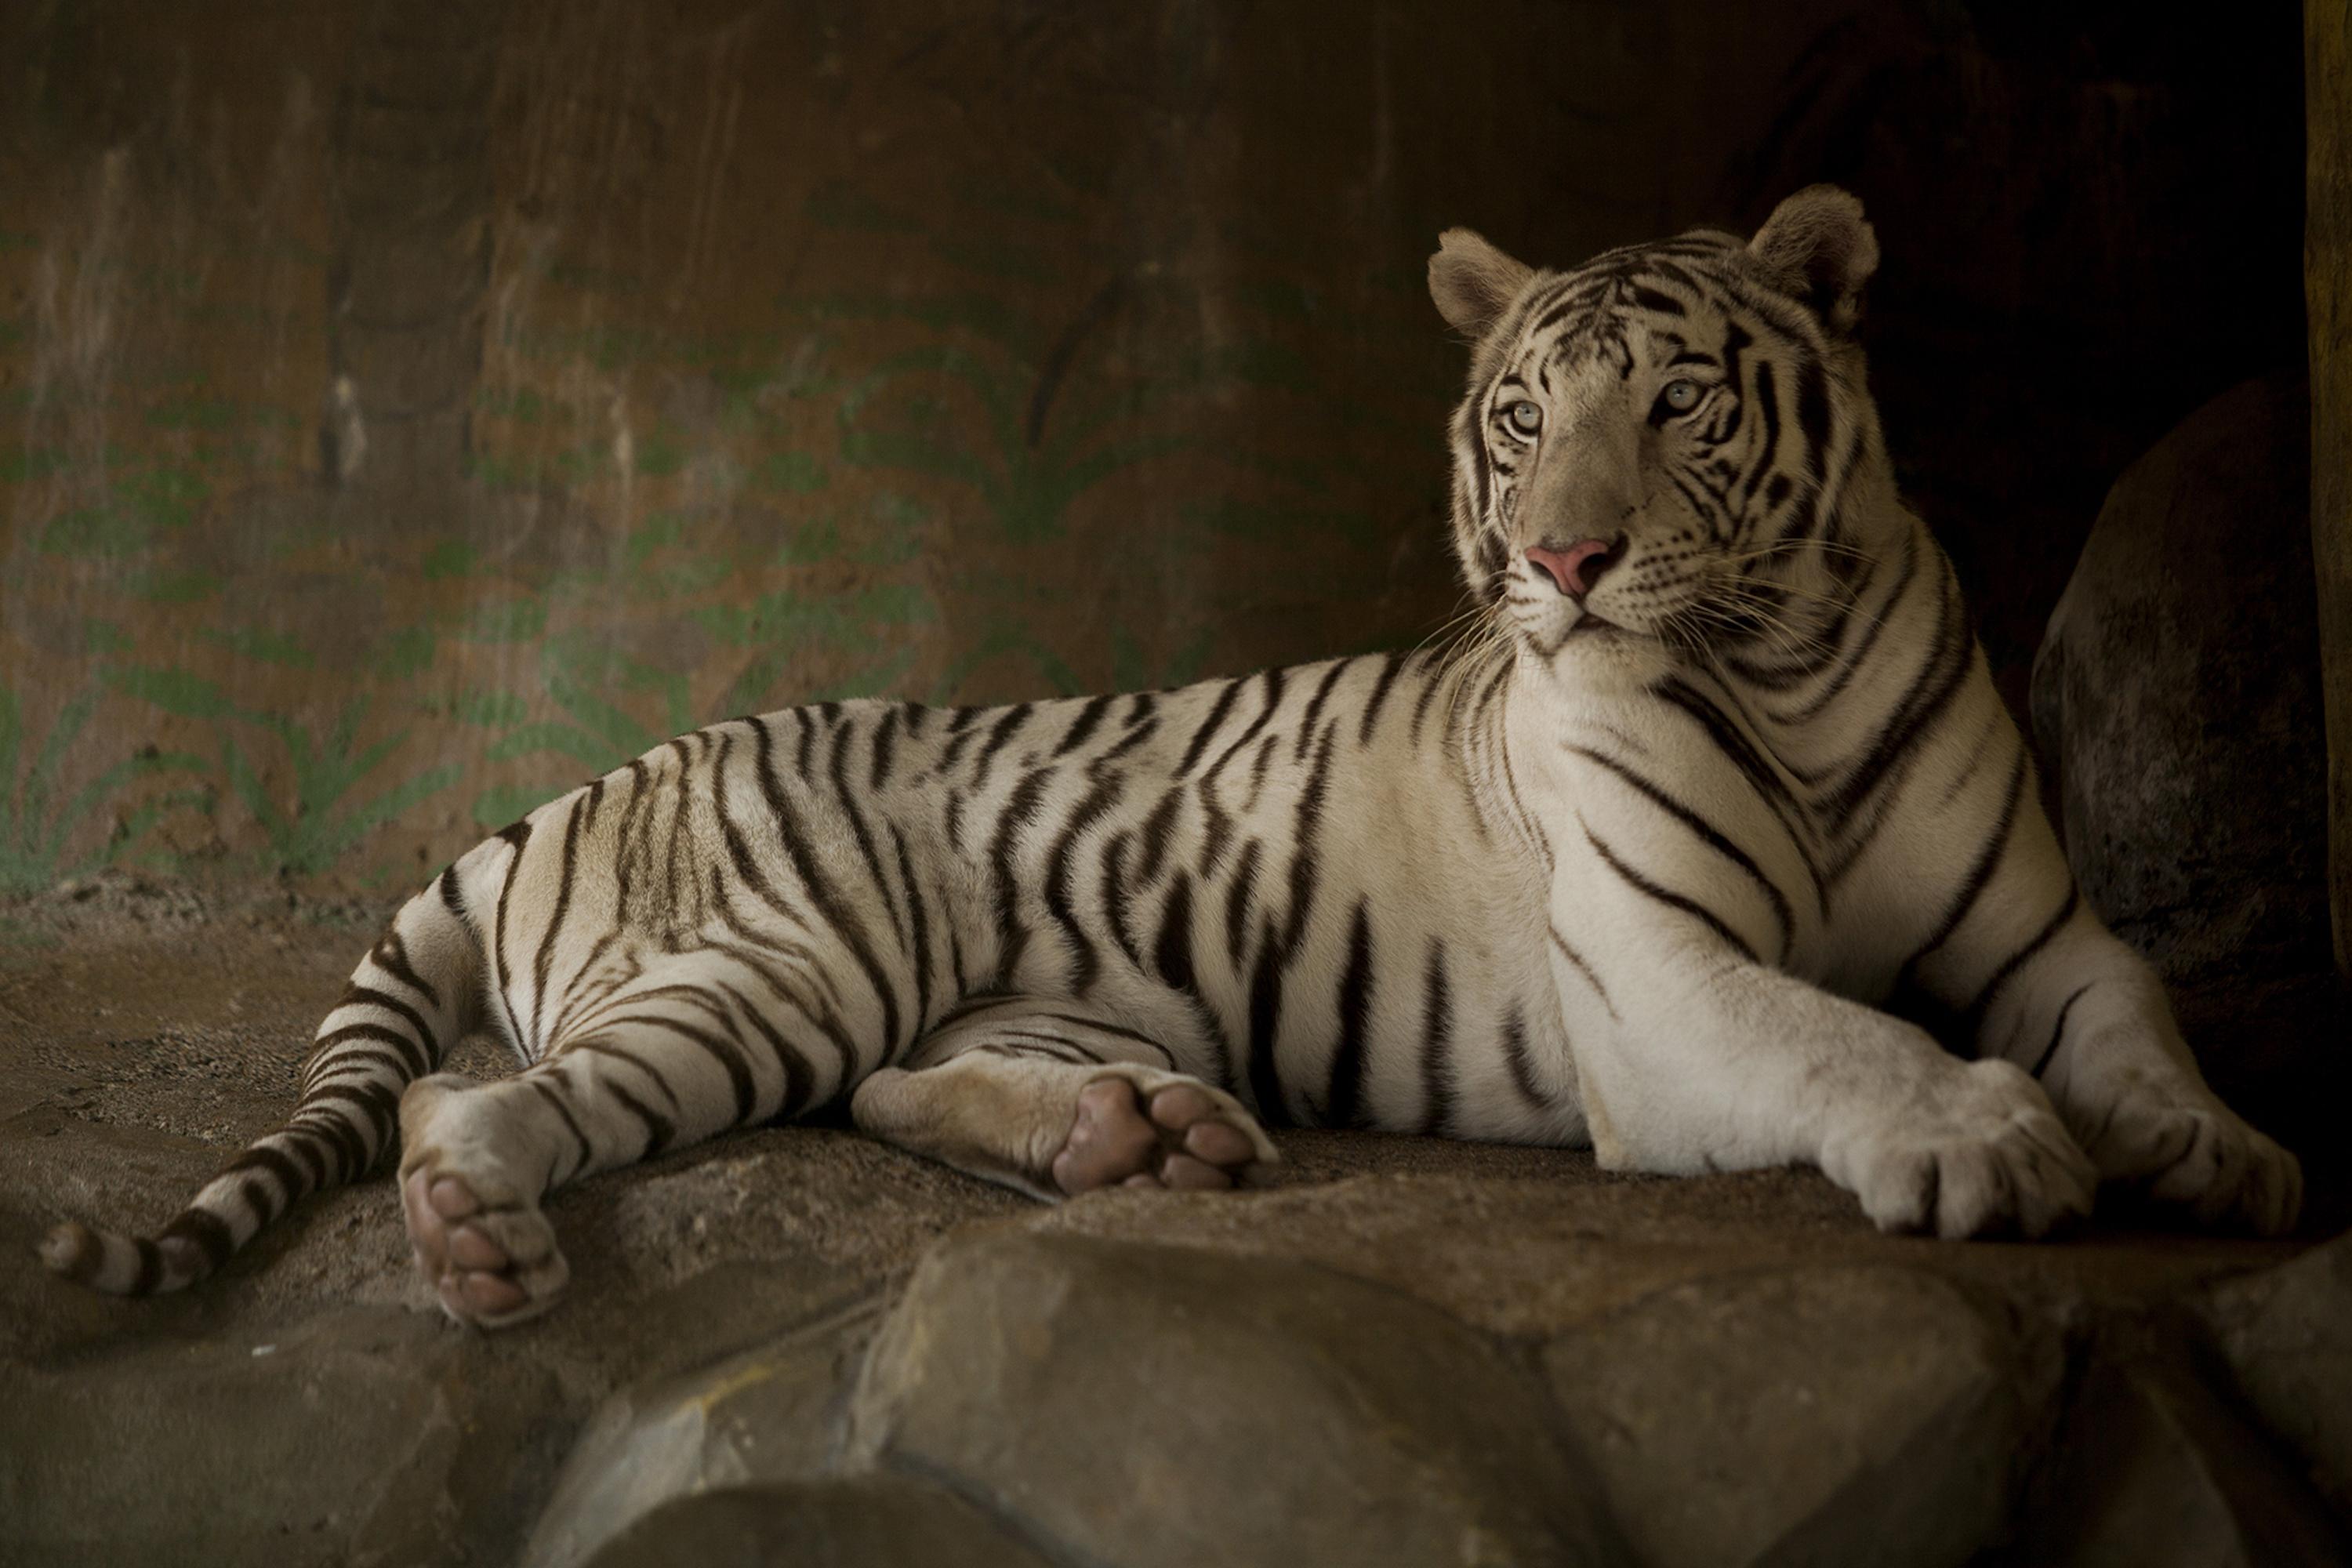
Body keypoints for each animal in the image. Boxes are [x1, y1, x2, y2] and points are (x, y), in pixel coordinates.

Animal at [41, 190, 2296, 1335]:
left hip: (1018, 986)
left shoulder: (2052, 935)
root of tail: (564, 791)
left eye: (1676, 404)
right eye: (1521, 418)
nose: (1563, 560)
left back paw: (1139, 1142)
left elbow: (2138, 1017)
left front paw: (2212, 1153)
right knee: (475, 1098)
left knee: (900, 1085)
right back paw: (475, 1241)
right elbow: (1845, 1036)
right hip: (777, 962)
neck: (1792, 659)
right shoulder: (1659, 981)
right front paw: (1983, 1141)